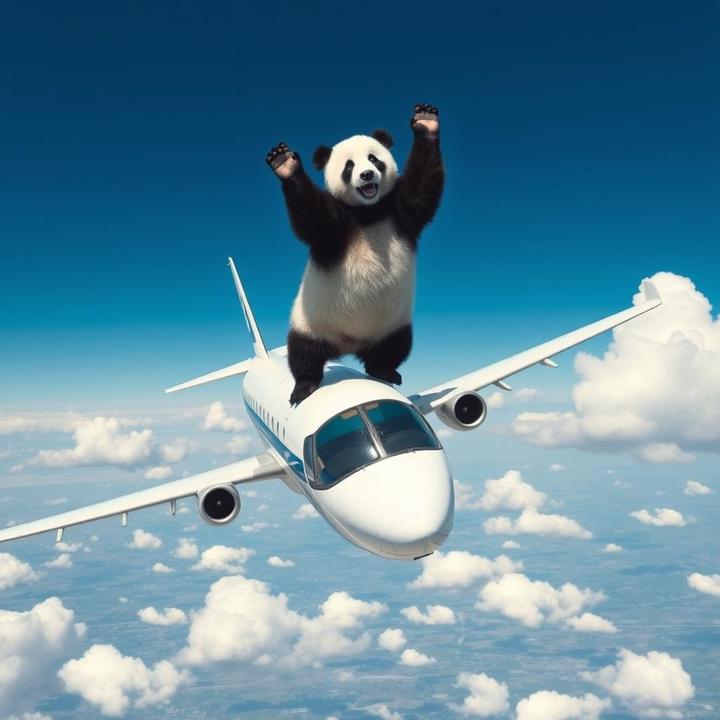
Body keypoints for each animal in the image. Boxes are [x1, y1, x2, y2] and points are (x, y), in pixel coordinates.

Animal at [266, 103, 444, 405]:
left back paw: (384, 370)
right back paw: (304, 385)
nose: (367, 175)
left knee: (394, 347)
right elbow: (311, 218)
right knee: (303, 352)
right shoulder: (334, 226)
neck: (367, 213)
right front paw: (284, 163)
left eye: (374, 159)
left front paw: (426, 122)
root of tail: (349, 344)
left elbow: (423, 189)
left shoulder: (399, 211)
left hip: (391, 324)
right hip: (311, 321)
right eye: (349, 166)